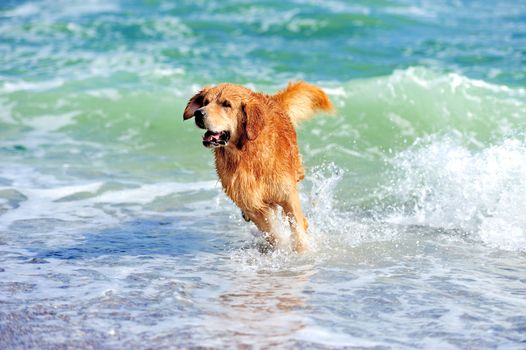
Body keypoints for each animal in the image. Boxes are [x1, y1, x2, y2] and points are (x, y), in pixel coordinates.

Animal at [185, 82, 334, 252]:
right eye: (205, 102)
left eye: (226, 104)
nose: (198, 113)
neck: (246, 152)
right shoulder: (251, 203)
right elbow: (272, 231)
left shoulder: (287, 194)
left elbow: (297, 227)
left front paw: (301, 251)